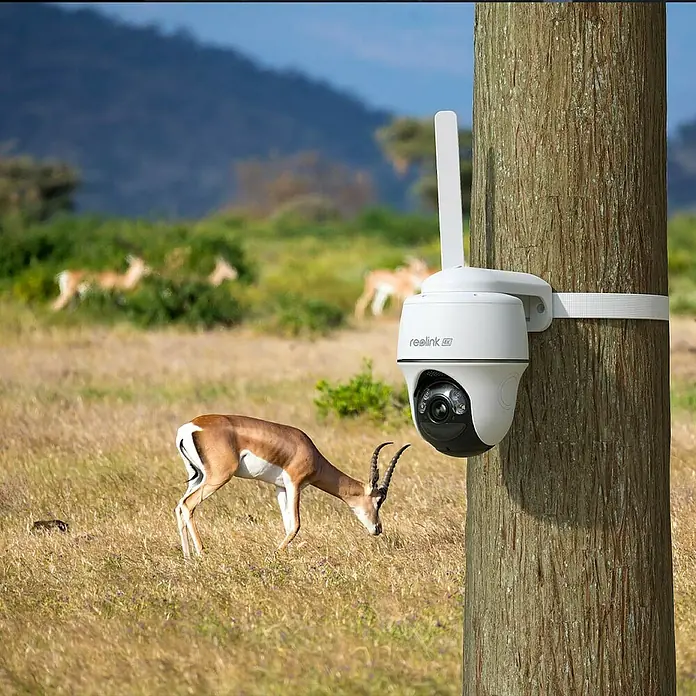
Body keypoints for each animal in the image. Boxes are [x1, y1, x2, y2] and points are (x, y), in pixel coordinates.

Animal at [174, 413, 410, 558]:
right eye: (379, 500)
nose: (378, 529)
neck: (310, 453)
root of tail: (190, 427)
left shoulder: (280, 488)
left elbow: (287, 524)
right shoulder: (295, 483)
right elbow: (296, 524)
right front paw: (274, 555)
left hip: (198, 477)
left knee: (179, 506)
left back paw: (187, 556)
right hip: (218, 477)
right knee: (188, 505)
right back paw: (201, 553)